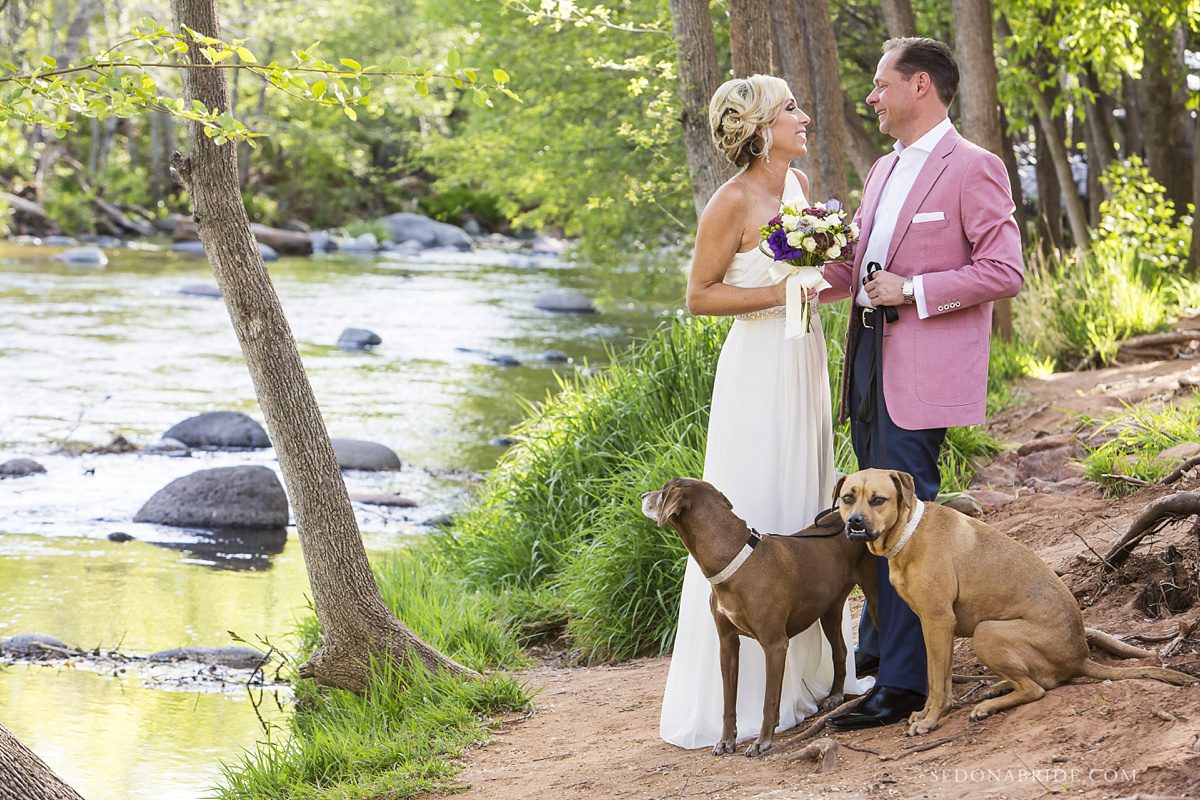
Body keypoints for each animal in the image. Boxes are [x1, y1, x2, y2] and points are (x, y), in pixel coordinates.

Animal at [643, 479, 878, 762]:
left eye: (664, 490)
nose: (643, 495)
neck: (735, 560)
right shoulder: (727, 643)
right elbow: (728, 701)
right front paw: (726, 740)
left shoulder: (775, 644)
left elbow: (769, 701)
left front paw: (762, 741)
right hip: (829, 609)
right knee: (840, 651)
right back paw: (835, 696)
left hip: (874, 595)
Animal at [840, 470, 1195, 738]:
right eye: (847, 498)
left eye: (879, 499)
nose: (855, 521)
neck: (908, 532)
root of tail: (1081, 656)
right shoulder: (935, 627)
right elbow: (937, 677)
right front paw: (929, 713)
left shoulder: (938, 621)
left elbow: (936, 682)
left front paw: (930, 720)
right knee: (1037, 680)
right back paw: (997, 688)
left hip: (987, 632)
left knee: (1036, 689)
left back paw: (989, 704)